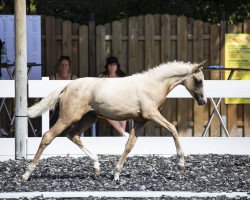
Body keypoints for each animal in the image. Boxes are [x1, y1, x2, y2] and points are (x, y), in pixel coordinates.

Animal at [22, 60, 207, 180]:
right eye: (199, 81)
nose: (203, 101)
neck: (152, 85)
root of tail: (67, 85)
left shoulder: (140, 121)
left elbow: (129, 145)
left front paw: (116, 174)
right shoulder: (151, 115)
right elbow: (173, 129)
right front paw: (181, 165)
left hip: (89, 118)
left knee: (73, 135)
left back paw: (97, 167)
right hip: (68, 117)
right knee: (48, 136)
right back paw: (26, 174)